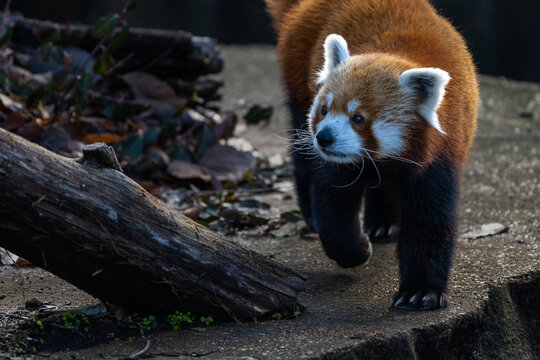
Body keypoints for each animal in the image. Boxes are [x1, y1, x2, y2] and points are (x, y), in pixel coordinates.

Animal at [264, 0, 478, 310]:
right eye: (324, 110)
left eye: (358, 118)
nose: (324, 137)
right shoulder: (338, 161)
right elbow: (333, 202)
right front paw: (356, 249)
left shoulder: (440, 155)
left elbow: (429, 219)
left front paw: (421, 291)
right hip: (297, 72)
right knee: (303, 161)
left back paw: (382, 224)